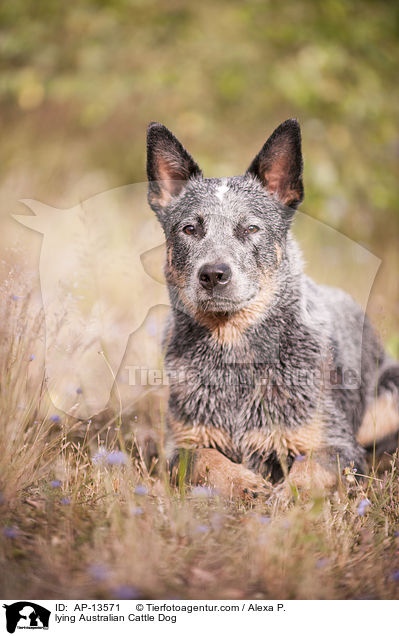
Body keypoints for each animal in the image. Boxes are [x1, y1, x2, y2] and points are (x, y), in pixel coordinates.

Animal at [146, 119, 399, 496]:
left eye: (251, 227)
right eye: (190, 228)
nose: (213, 274)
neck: (234, 352)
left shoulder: (337, 445)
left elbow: (308, 472)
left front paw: (283, 497)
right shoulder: (181, 444)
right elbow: (205, 460)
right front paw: (244, 484)